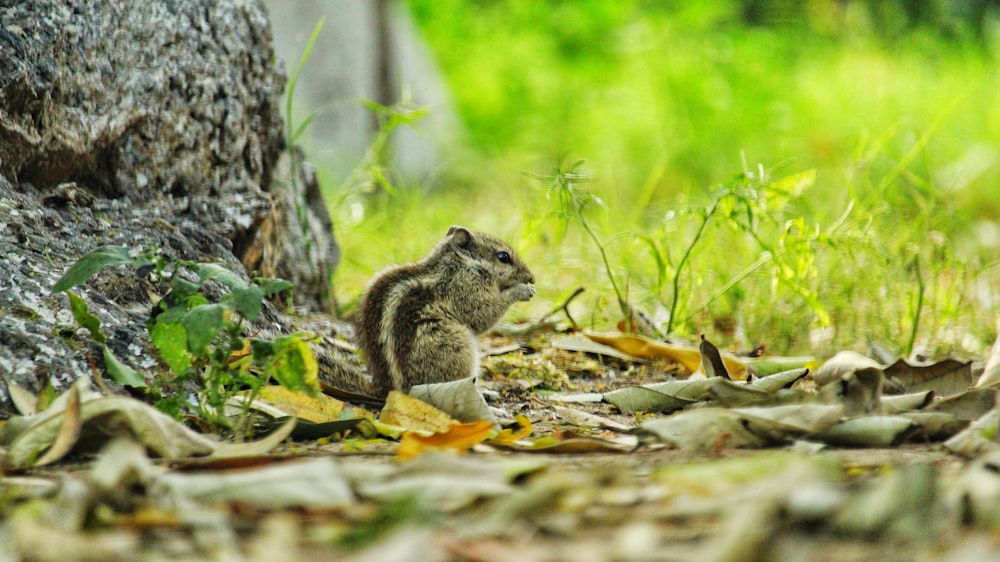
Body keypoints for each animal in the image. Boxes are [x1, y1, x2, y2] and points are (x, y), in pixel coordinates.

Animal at [356, 223, 536, 394]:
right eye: (503, 257)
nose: (532, 278)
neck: (462, 264)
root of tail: (394, 390)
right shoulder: (465, 290)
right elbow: (483, 315)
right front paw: (522, 290)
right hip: (456, 348)